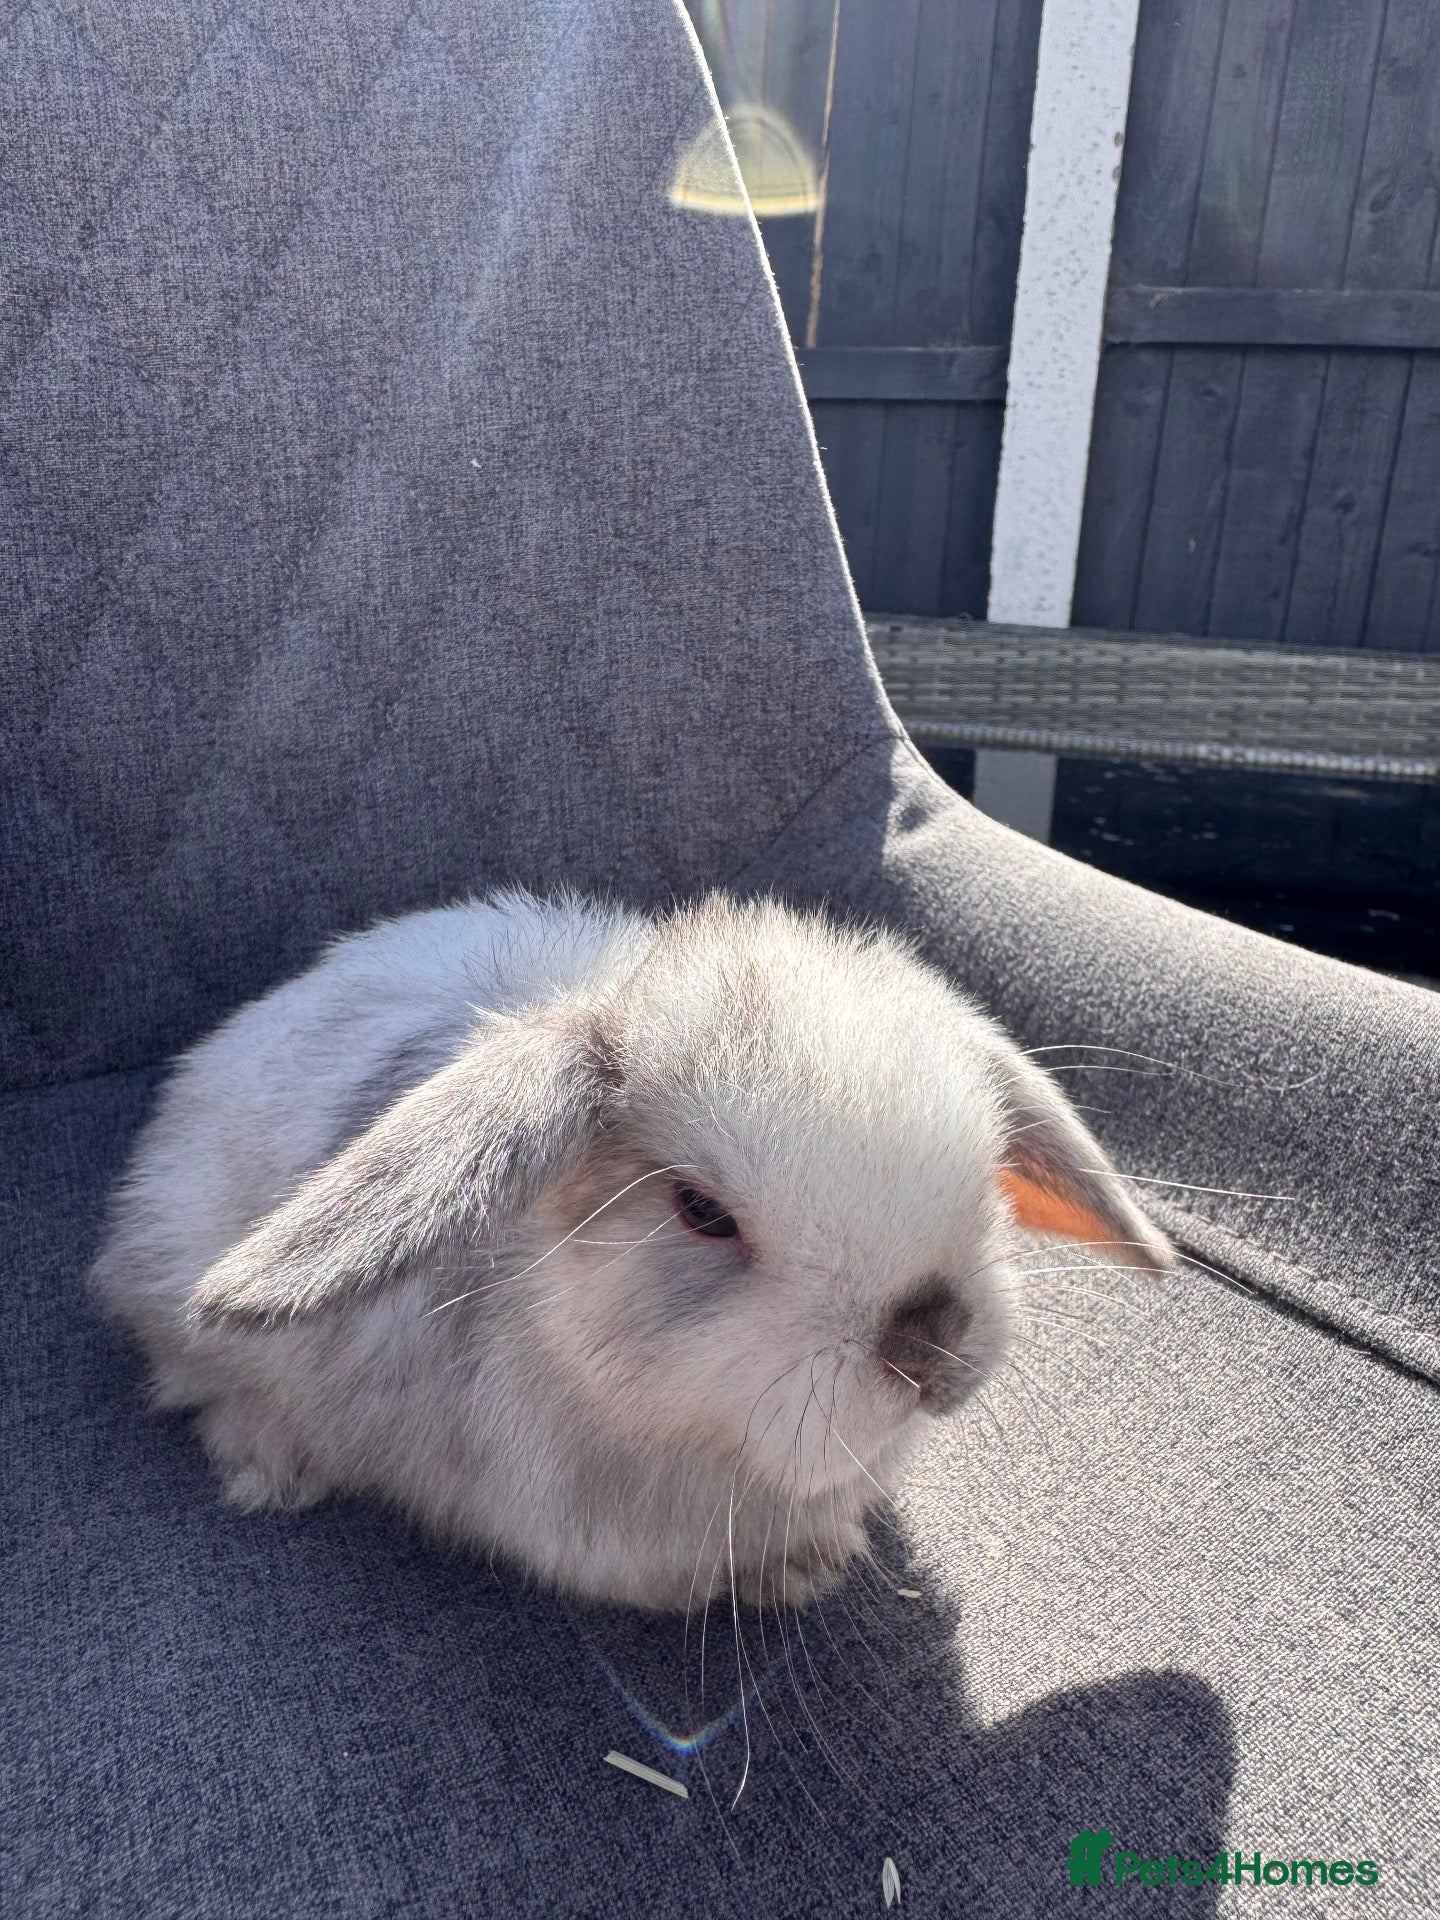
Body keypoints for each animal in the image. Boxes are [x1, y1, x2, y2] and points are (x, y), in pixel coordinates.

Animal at [91, 889, 1173, 1612]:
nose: (931, 1335)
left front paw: (820, 1558)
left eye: (986, 1166)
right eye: (701, 1210)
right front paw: (800, 1574)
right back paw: (273, 1464)